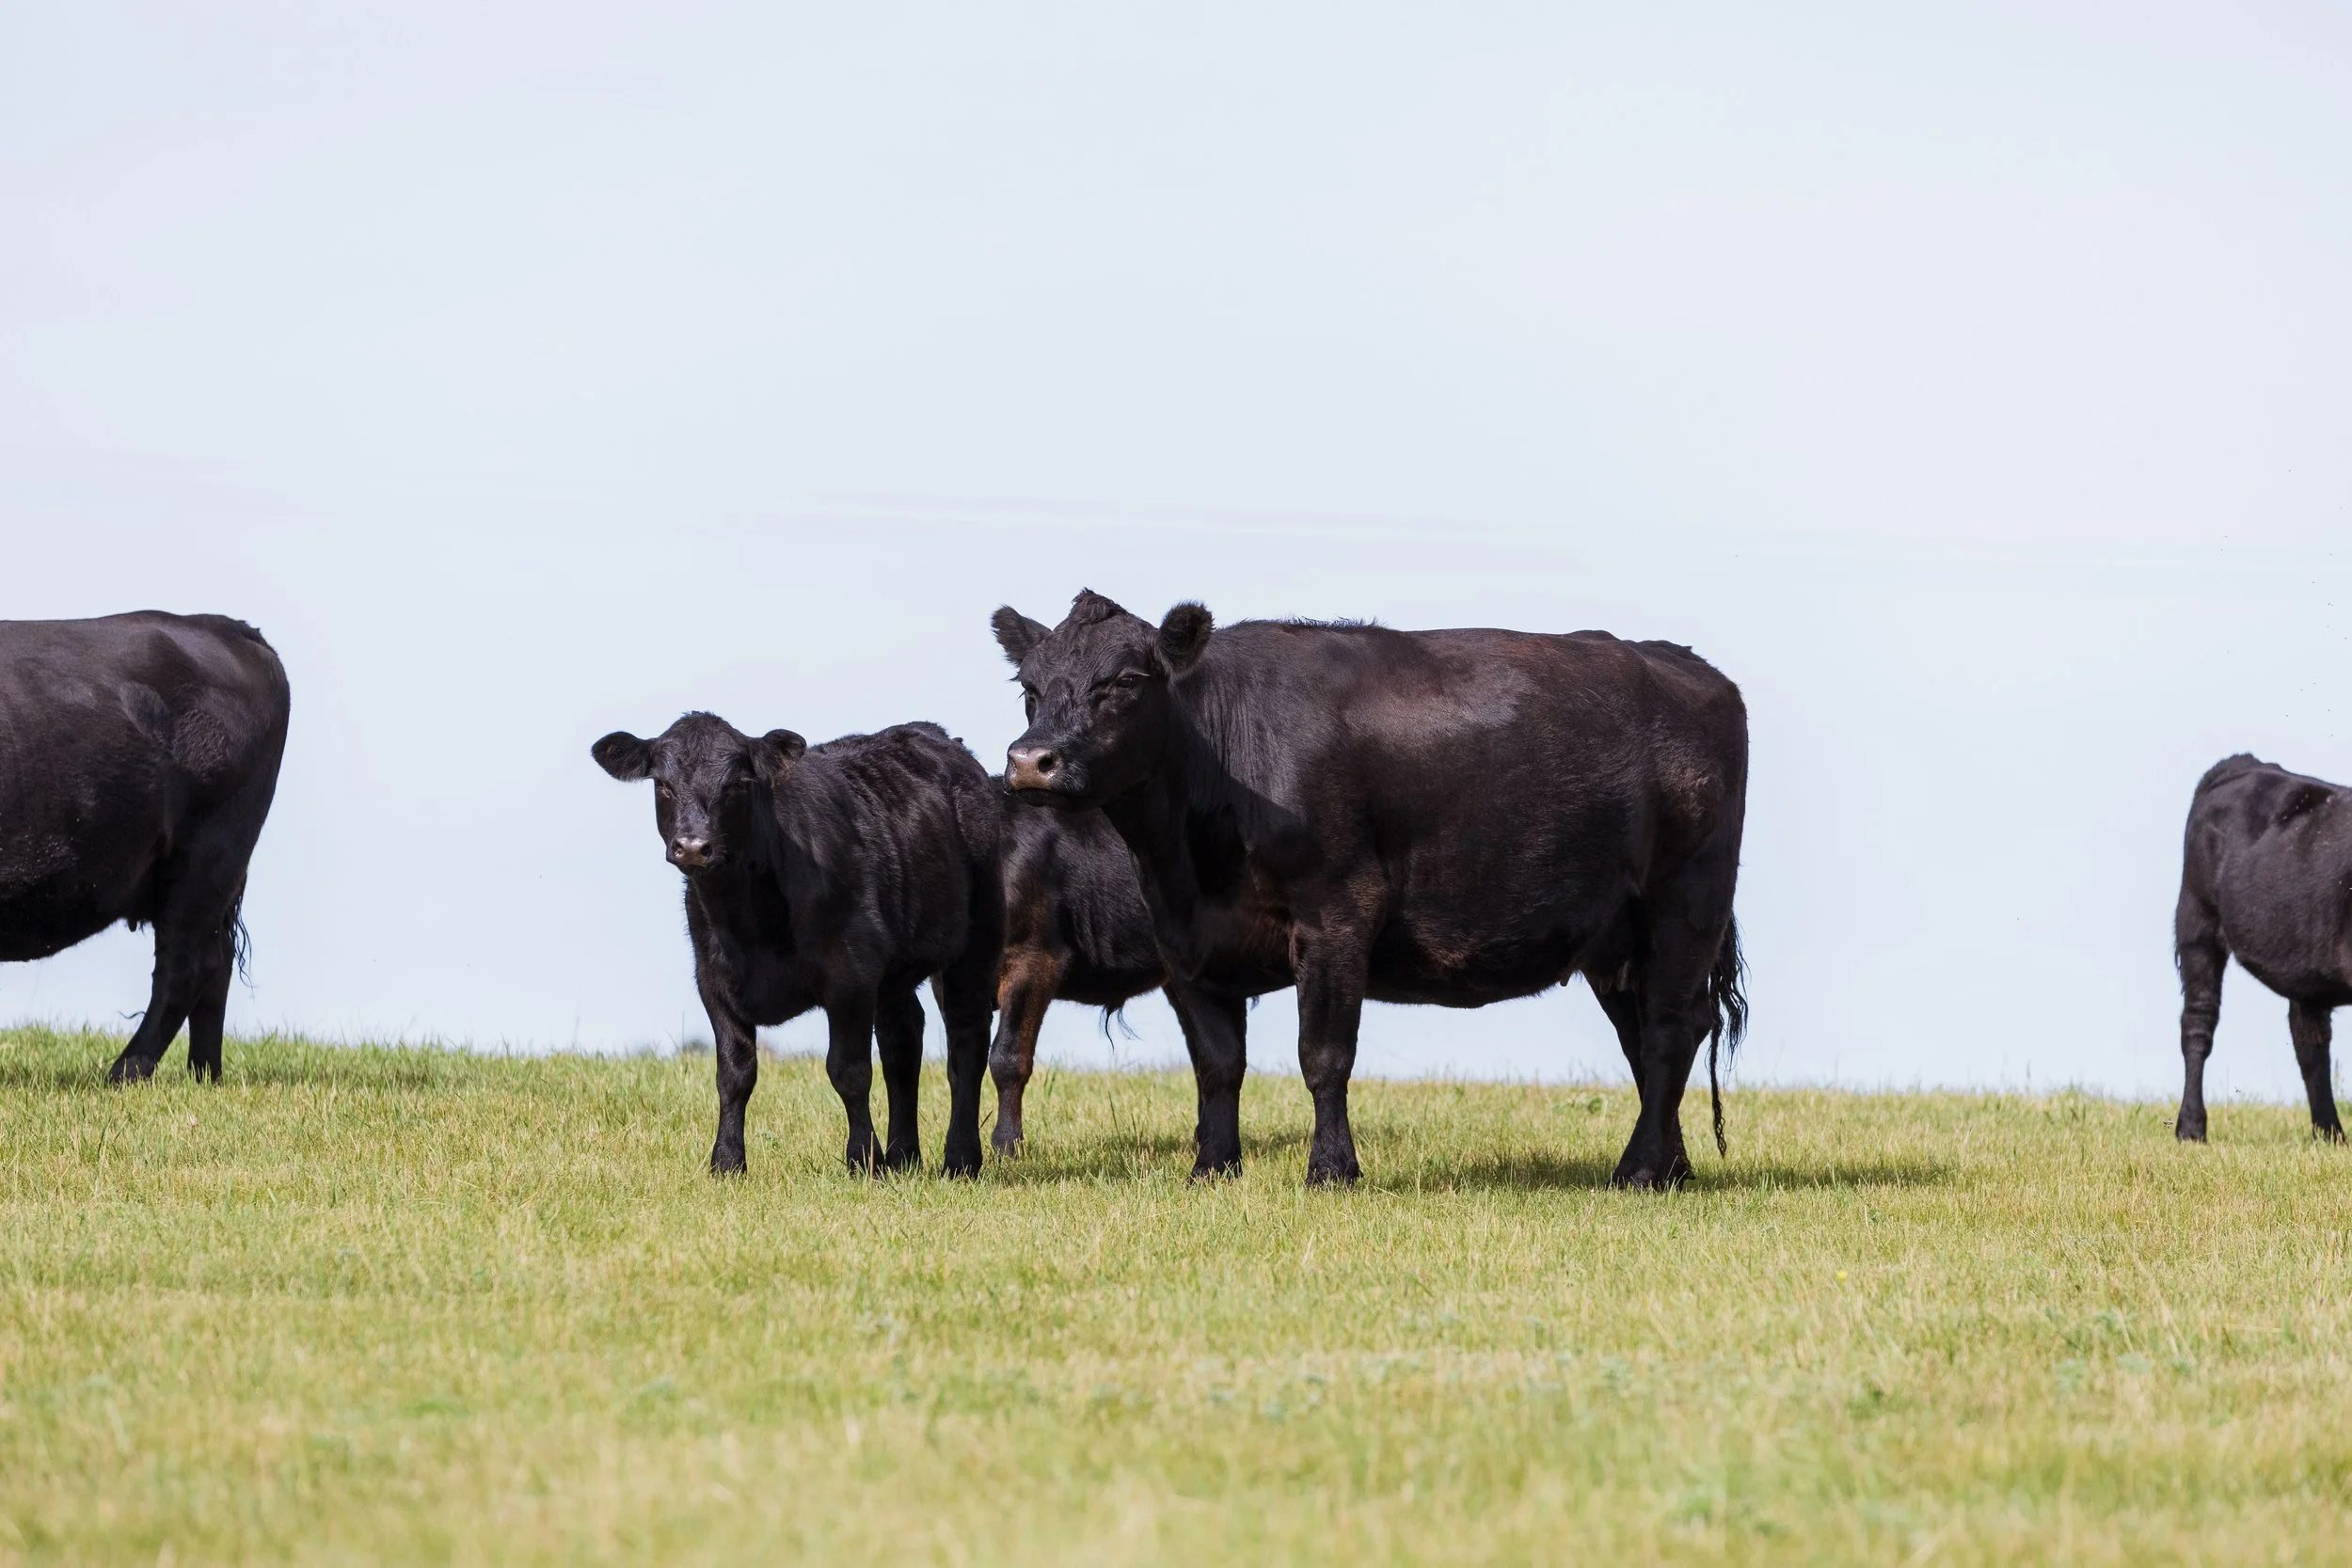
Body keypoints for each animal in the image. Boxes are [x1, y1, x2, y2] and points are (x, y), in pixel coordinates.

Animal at [0, 612, 290, 1083]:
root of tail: (226, 627)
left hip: (206, 857)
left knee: (188, 967)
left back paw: (125, 1073)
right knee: (216, 966)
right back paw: (203, 1075)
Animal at [592, 713, 1003, 1177]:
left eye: (737, 783)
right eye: (662, 784)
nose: (693, 846)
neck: (746, 921)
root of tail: (936, 735)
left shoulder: (850, 975)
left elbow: (849, 1071)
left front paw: (863, 1159)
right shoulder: (713, 981)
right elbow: (734, 1073)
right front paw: (727, 1163)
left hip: (977, 938)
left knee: (967, 1042)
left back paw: (960, 1159)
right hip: (896, 970)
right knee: (903, 1040)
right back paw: (903, 1158)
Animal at [2174, 754, 2352, 1143]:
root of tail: (2245, 763)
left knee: (2309, 1041)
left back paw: (2329, 1134)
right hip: (2196, 923)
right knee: (2198, 1023)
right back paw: (2191, 1128)